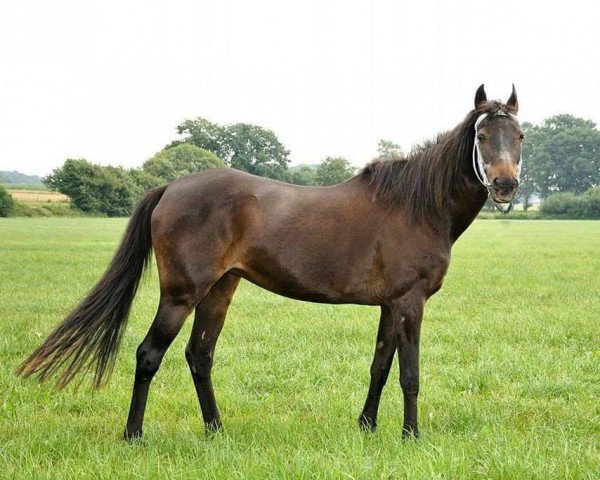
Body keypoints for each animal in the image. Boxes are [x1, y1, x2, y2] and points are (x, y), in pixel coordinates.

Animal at [16, 85, 524, 438]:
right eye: (482, 135)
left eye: (519, 135)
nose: (505, 184)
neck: (416, 207)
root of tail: (171, 188)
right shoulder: (410, 302)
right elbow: (410, 374)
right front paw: (410, 435)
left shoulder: (389, 305)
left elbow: (380, 367)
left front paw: (367, 428)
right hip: (181, 294)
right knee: (149, 354)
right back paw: (134, 434)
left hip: (220, 290)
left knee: (199, 355)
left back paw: (216, 431)